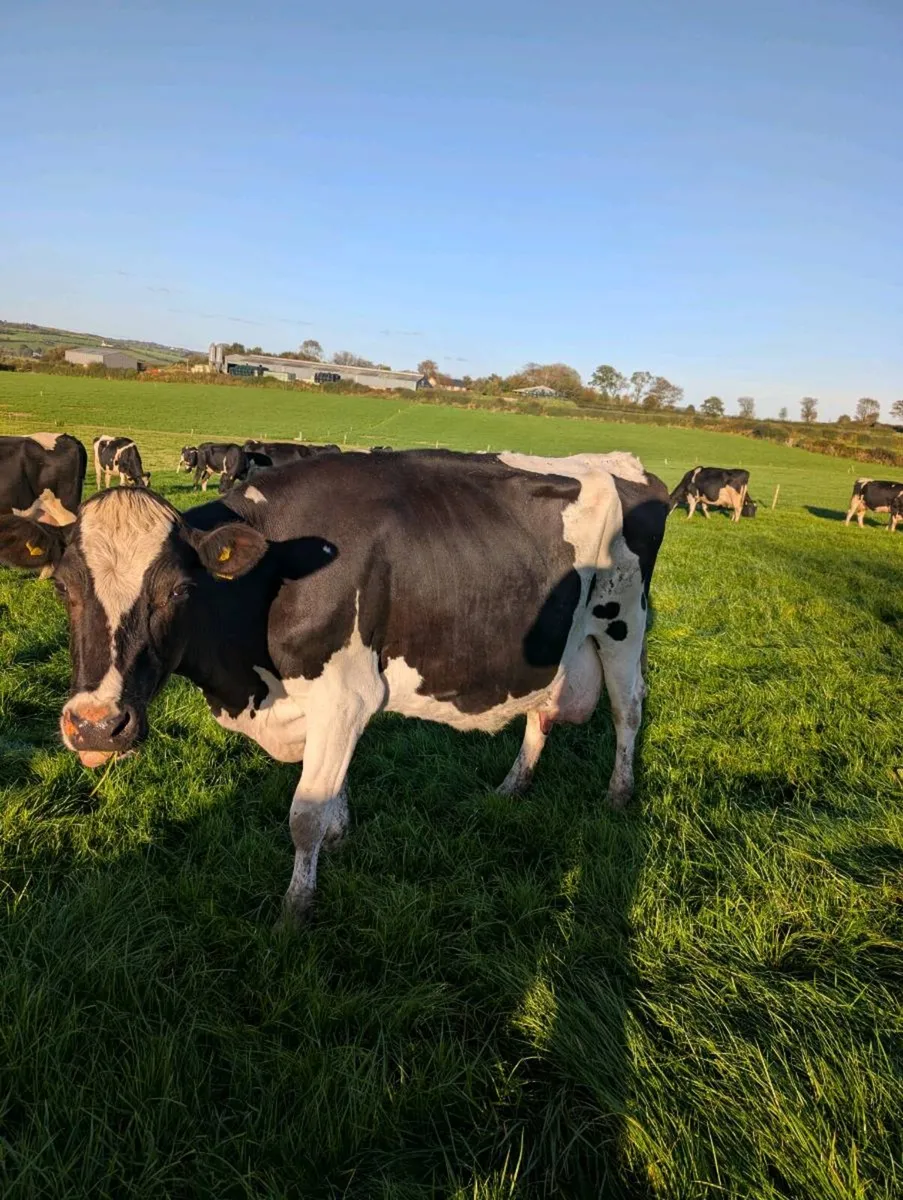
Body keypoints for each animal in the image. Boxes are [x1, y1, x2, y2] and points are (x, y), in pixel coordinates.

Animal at [0, 449, 669, 918]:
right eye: (63, 588)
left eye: (178, 592)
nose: (95, 725)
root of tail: (629, 468)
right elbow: (332, 791)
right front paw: (342, 839)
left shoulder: (345, 695)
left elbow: (304, 813)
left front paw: (295, 910)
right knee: (541, 711)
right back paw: (513, 785)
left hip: (623, 624)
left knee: (628, 709)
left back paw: (618, 793)